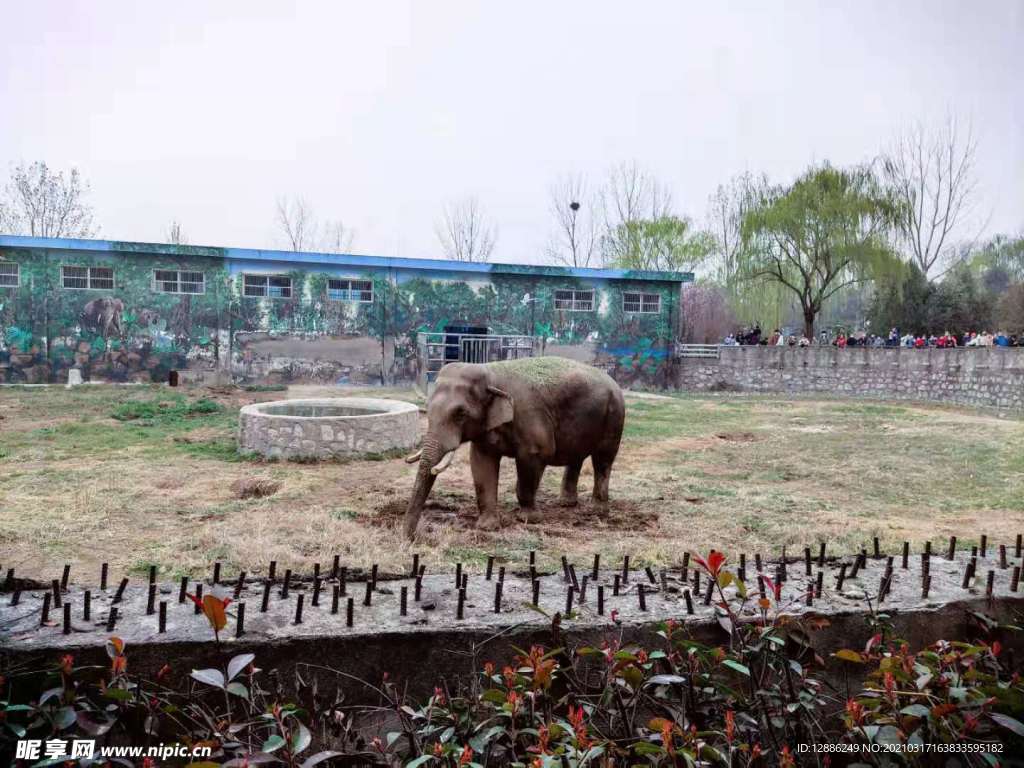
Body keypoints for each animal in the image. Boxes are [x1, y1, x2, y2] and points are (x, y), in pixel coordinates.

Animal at [403, 356, 625, 540]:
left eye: (460, 414)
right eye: (428, 409)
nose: (414, 537)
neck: (491, 373)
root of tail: (613, 382)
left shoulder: (529, 416)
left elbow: (534, 457)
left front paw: (529, 519)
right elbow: (482, 463)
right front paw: (487, 526)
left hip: (614, 416)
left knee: (603, 460)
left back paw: (596, 511)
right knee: (576, 457)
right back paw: (566, 504)